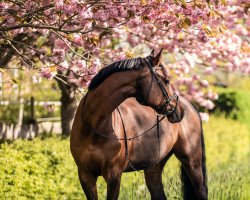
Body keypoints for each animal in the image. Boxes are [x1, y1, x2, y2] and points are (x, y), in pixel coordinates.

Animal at [70, 49, 207, 200]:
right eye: (166, 80)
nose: (180, 111)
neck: (94, 126)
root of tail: (190, 106)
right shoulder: (85, 175)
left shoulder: (113, 175)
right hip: (154, 168)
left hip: (192, 162)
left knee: (201, 191)